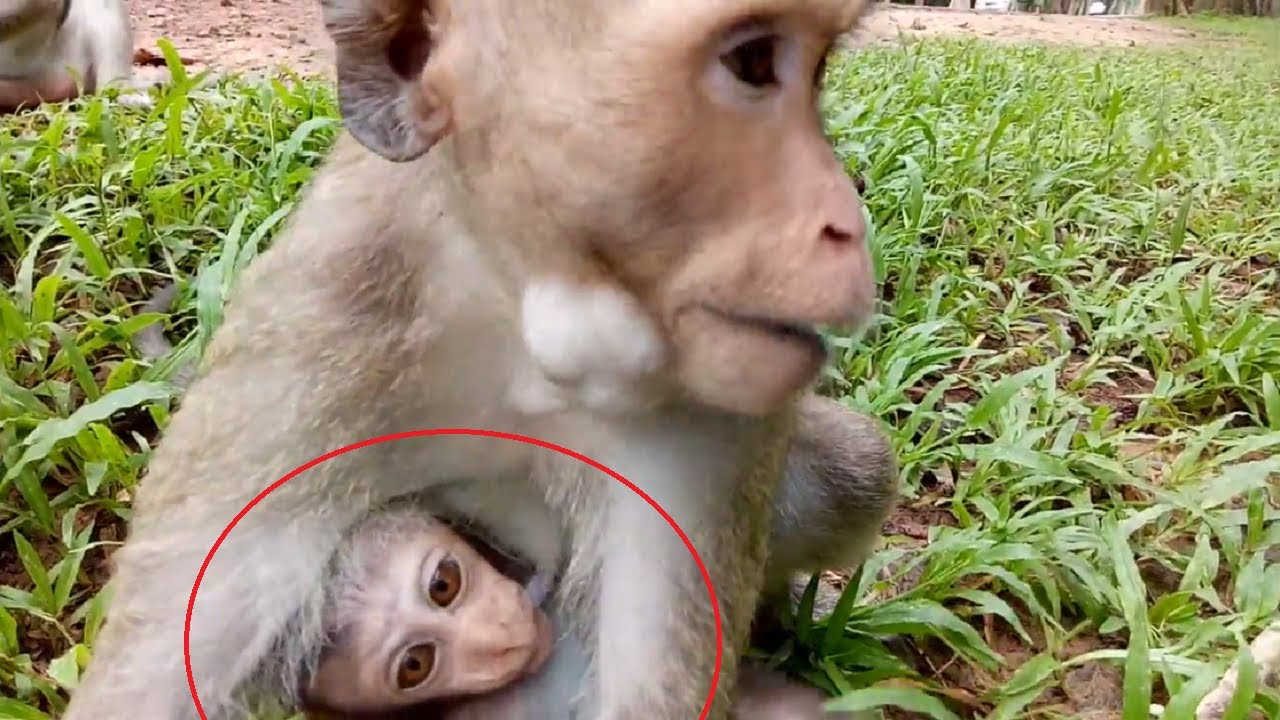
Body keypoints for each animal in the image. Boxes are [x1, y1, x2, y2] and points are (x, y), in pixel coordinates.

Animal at [64, 0, 879, 718]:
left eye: (818, 69)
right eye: (754, 62)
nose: (849, 220)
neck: (523, 324)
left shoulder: (709, 423)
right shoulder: (313, 333)